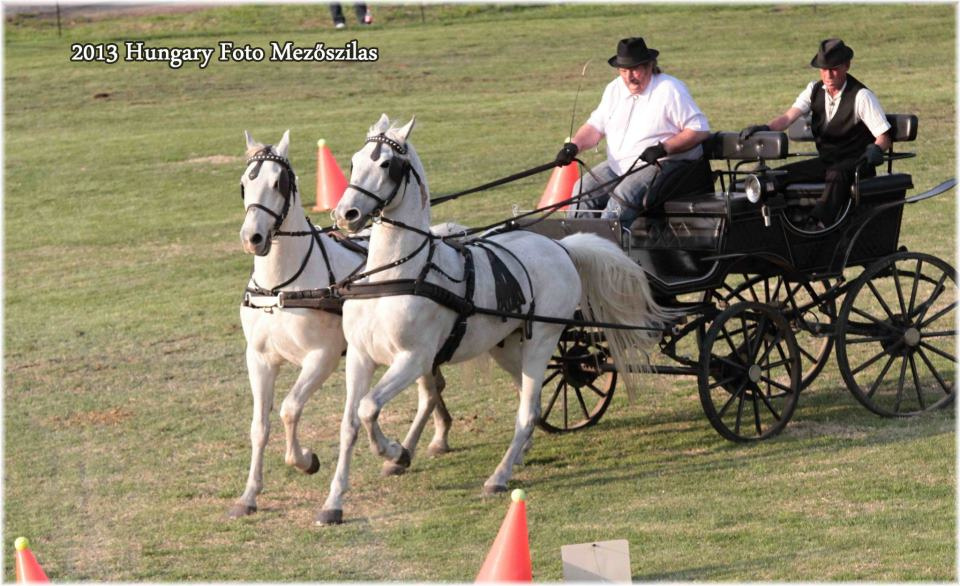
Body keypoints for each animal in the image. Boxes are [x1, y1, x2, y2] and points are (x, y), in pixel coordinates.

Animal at [232, 131, 458, 516]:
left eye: (279, 183)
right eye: (245, 184)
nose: (253, 238)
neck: (281, 288)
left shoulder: (321, 357)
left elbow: (290, 409)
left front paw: (305, 460)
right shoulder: (259, 359)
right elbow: (259, 426)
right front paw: (249, 495)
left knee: (429, 391)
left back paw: (404, 451)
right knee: (432, 388)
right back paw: (432, 439)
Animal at [318, 113, 664, 520]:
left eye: (387, 164)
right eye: (354, 161)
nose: (347, 215)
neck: (396, 274)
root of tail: (561, 246)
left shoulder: (413, 358)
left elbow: (370, 407)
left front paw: (395, 452)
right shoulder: (360, 356)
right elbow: (350, 423)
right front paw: (333, 503)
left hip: (543, 340)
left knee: (527, 410)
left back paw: (499, 476)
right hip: (508, 346)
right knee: (529, 399)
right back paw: (519, 454)